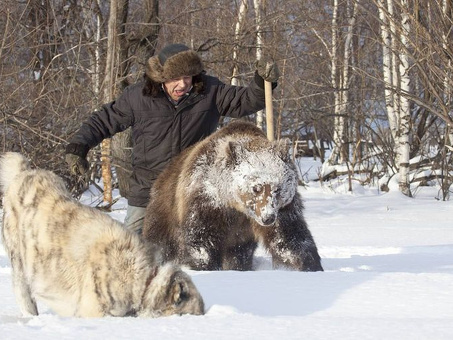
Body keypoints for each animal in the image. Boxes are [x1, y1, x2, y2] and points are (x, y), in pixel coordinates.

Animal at [141, 119, 322, 270]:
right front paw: (206, 266)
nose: (268, 218)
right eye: (256, 188)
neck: (237, 207)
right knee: (161, 242)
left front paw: (310, 265)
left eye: (278, 188)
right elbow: (202, 240)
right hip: (165, 209)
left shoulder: (282, 209)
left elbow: (289, 237)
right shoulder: (207, 201)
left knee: (239, 253)